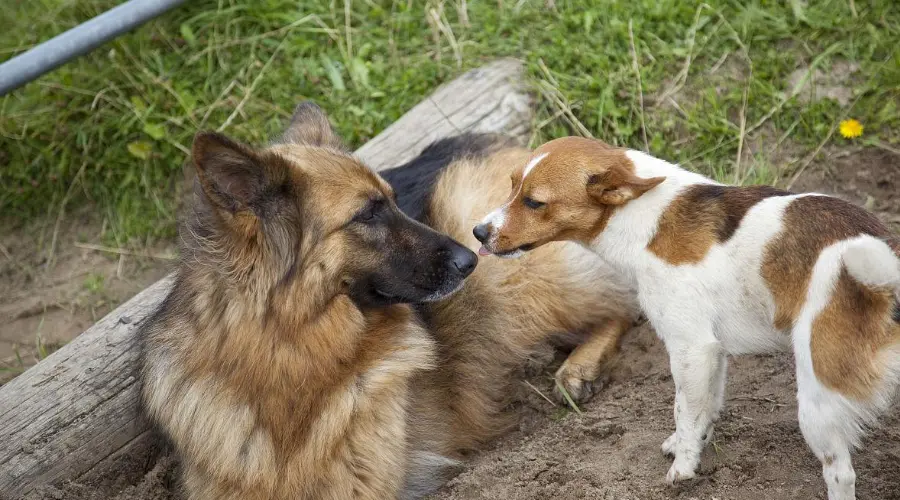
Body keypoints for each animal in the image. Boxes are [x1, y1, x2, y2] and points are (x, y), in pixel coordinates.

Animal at [141, 102, 640, 500]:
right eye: (368, 214)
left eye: (396, 203)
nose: (471, 258)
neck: (288, 356)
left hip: (513, 262)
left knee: (627, 300)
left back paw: (578, 368)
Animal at [474, 137, 896, 500]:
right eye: (511, 185)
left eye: (534, 202)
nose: (477, 231)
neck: (641, 217)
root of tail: (886, 283)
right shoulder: (712, 352)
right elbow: (705, 408)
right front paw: (689, 445)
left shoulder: (690, 348)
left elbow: (684, 410)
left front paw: (684, 465)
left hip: (816, 402)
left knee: (841, 473)